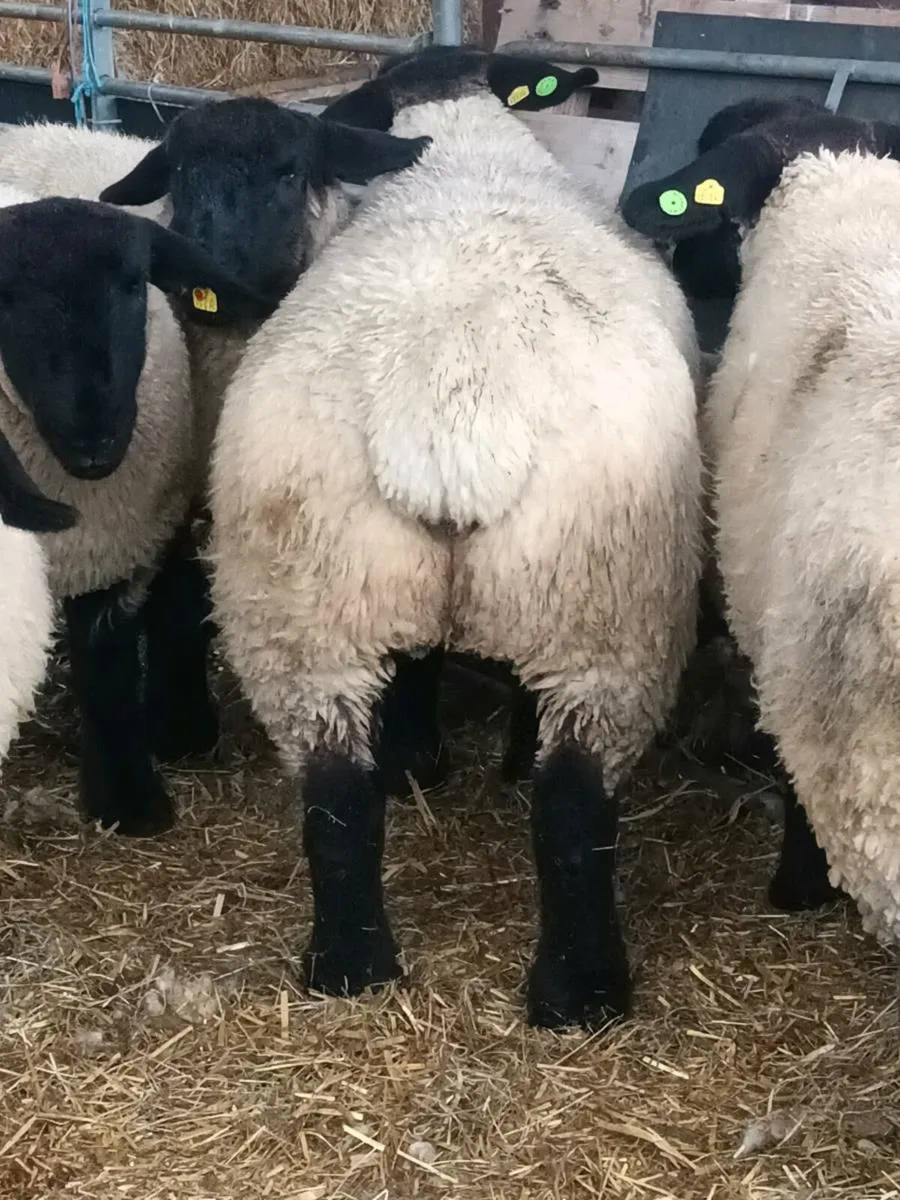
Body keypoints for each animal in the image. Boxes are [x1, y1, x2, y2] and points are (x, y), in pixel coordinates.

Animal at [0, 184, 277, 835]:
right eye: (4, 298)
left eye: (133, 283)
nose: (94, 436)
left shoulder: (115, 542)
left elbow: (106, 664)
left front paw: (129, 801)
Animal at [207, 47, 703, 1029]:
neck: (460, 139)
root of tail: (446, 397)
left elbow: (419, 662)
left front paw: (414, 764)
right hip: (605, 605)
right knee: (573, 804)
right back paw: (581, 993)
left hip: (306, 592)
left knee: (335, 795)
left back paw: (350, 964)